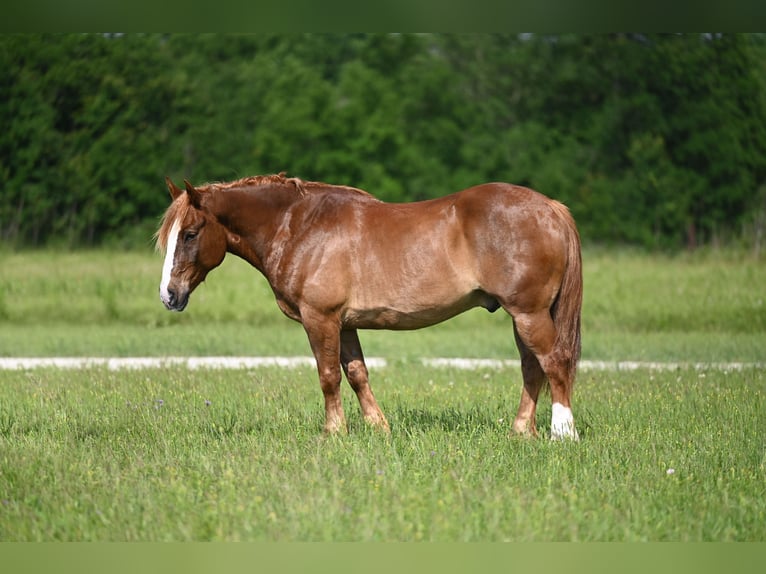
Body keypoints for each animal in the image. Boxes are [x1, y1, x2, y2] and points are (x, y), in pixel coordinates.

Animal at [158, 174, 588, 440]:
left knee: (554, 362)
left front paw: (334, 432)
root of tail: (550, 207)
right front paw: (379, 429)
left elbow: (328, 376)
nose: (169, 295)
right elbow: (357, 374)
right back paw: (521, 431)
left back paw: (562, 433)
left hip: (529, 313)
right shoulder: (345, 324)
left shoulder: (320, 318)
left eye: (191, 234)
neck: (299, 226)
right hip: (522, 316)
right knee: (532, 368)